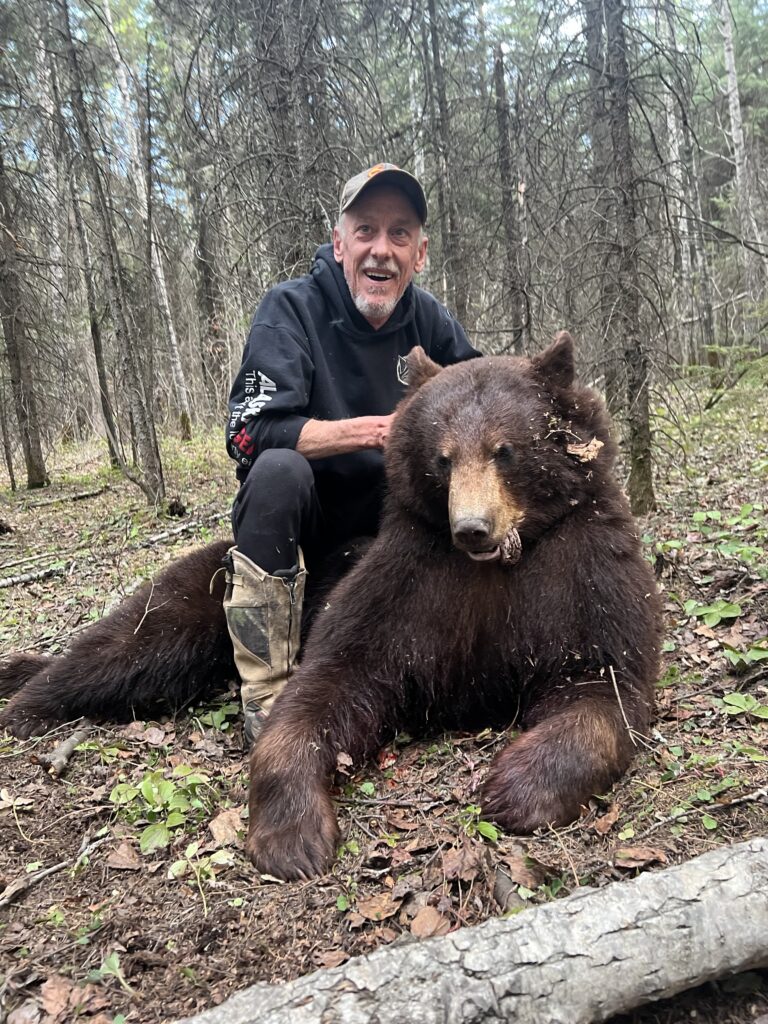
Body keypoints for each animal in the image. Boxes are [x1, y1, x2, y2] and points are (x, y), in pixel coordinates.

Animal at [244, 333, 661, 880]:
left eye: (503, 451)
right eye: (444, 458)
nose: (472, 528)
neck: (498, 562)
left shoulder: (583, 573)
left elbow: (601, 683)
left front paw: (512, 790)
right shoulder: (407, 583)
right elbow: (327, 681)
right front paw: (292, 838)